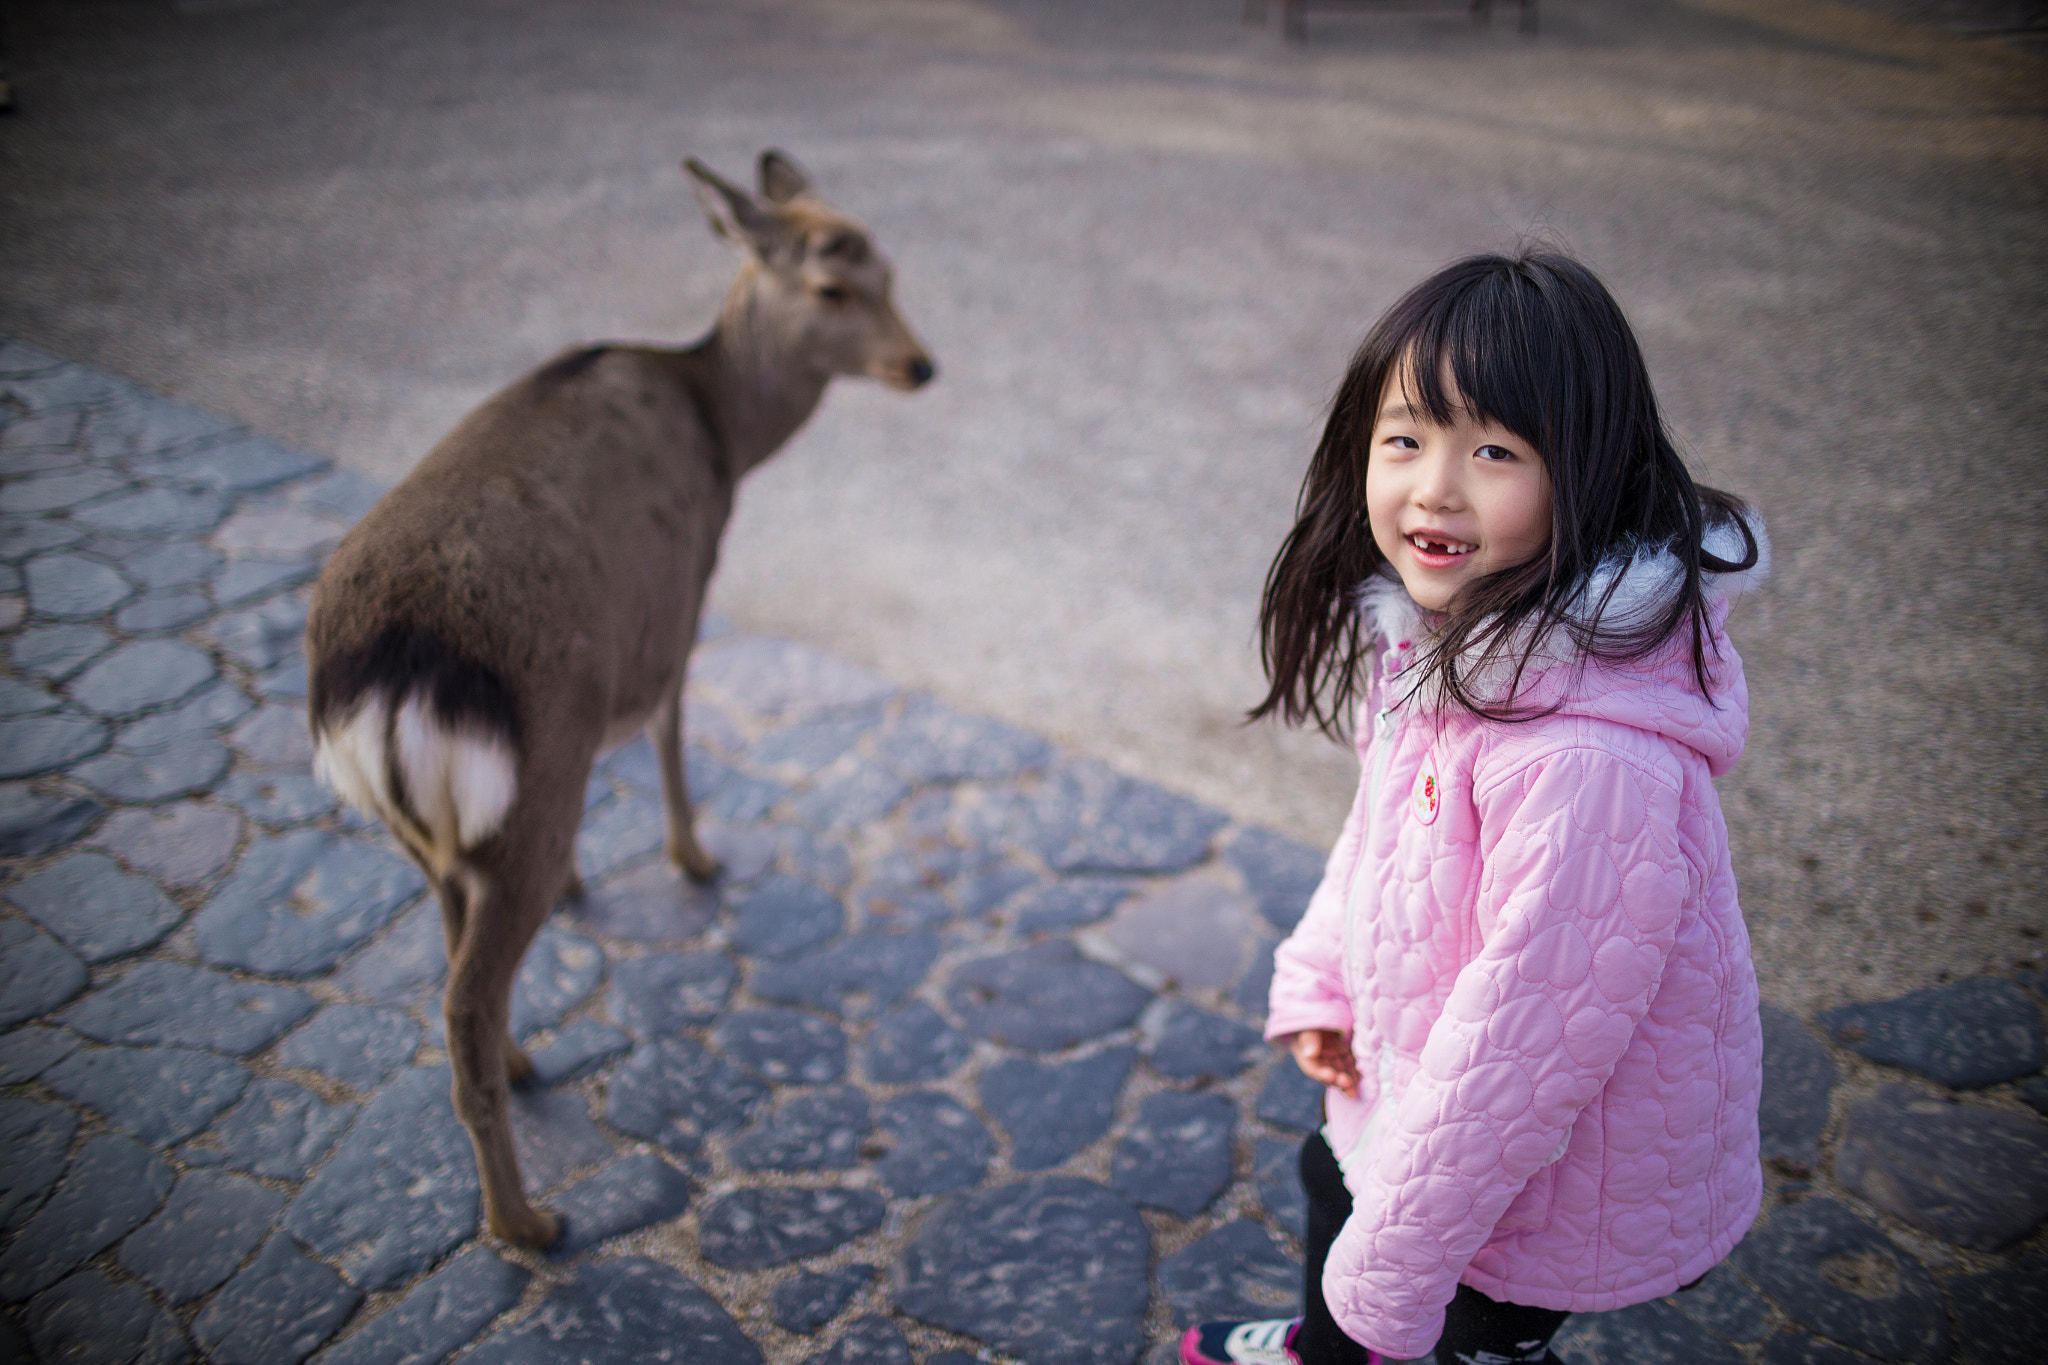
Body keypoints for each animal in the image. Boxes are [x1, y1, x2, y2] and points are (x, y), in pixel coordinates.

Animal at [304, 150, 935, 1248]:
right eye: (831, 285)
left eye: (891, 269)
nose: (920, 364)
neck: (724, 431)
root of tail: (382, 675)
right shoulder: (679, 586)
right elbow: (673, 725)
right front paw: (695, 857)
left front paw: (595, 882)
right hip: (536, 765)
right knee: (464, 997)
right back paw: (525, 1220)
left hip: (423, 819)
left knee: (452, 937)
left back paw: (520, 1061)